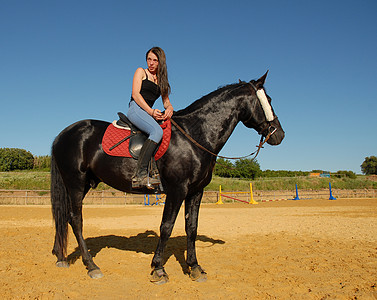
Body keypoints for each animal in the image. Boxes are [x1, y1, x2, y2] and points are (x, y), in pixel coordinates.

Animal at [50, 71, 284, 282]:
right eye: (269, 100)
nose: (279, 135)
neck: (194, 135)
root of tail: (64, 134)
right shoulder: (176, 190)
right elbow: (166, 227)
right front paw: (158, 269)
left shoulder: (196, 192)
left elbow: (191, 228)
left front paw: (194, 267)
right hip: (75, 183)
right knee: (75, 219)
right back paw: (91, 266)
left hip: (81, 184)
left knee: (64, 217)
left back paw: (61, 257)